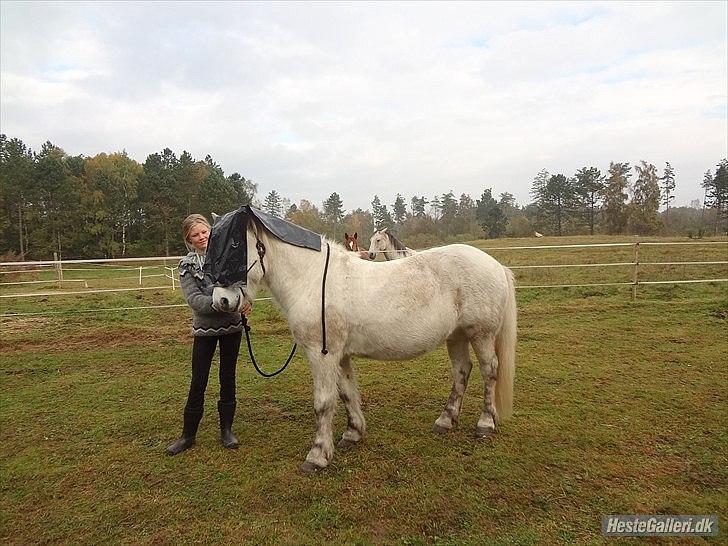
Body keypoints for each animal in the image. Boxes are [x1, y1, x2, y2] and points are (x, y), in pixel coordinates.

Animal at [212, 212, 516, 472]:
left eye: (236, 245)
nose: (221, 301)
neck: (312, 279)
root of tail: (496, 265)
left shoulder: (321, 355)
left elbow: (323, 402)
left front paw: (318, 455)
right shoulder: (340, 355)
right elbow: (347, 392)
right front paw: (352, 433)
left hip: (481, 334)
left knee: (489, 372)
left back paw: (485, 424)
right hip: (457, 336)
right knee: (462, 372)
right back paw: (445, 420)